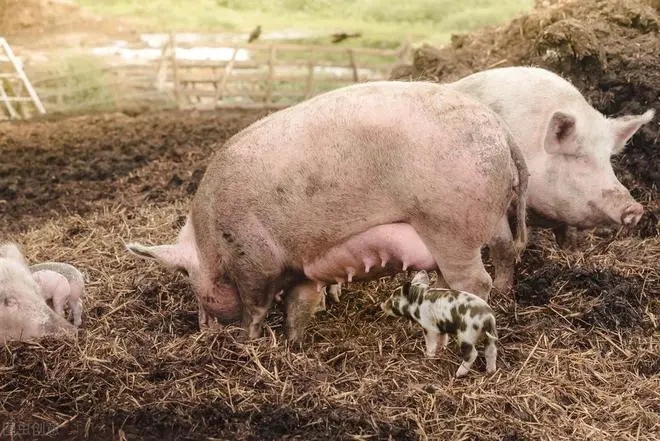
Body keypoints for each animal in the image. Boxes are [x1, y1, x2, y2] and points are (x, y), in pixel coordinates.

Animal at [129, 79, 528, 340]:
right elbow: (298, 306)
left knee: (475, 280)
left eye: (185, 274)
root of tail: (502, 131)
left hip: (450, 224)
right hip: (479, 220)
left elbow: (255, 308)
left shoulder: (253, 258)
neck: (210, 238)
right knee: (497, 255)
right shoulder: (301, 266)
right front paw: (292, 345)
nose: (201, 329)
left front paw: (247, 342)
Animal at [448, 66, 656, 288]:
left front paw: (574, 259)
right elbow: (503, 245)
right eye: (579, 156)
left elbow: (569, 237)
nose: (635, 208)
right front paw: (501, 289)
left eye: (607, 159)